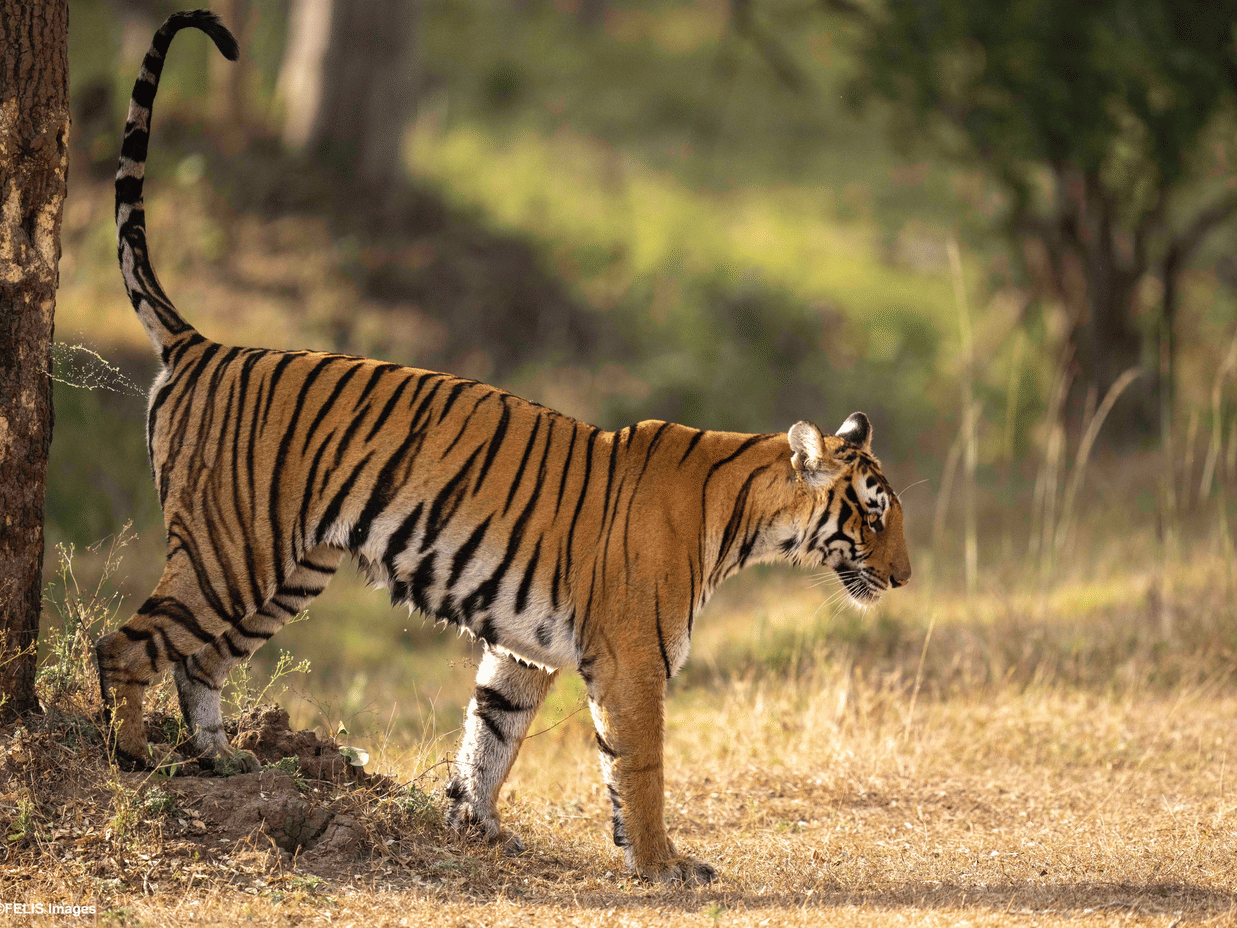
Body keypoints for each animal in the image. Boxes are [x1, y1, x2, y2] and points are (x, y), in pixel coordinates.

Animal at [94, 10, 911, 885]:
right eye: (870, 514)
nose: (904, 577)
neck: (745, 519)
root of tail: (203, 344)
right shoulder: (631, 659)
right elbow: (640, 765)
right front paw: (662, 864)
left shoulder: (525, 654)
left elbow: (491, 737)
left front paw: (475, 824)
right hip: (231, 552)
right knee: (124, 646)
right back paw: (133, 759)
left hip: (288, 570)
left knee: (198, 661)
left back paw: (221, 761)